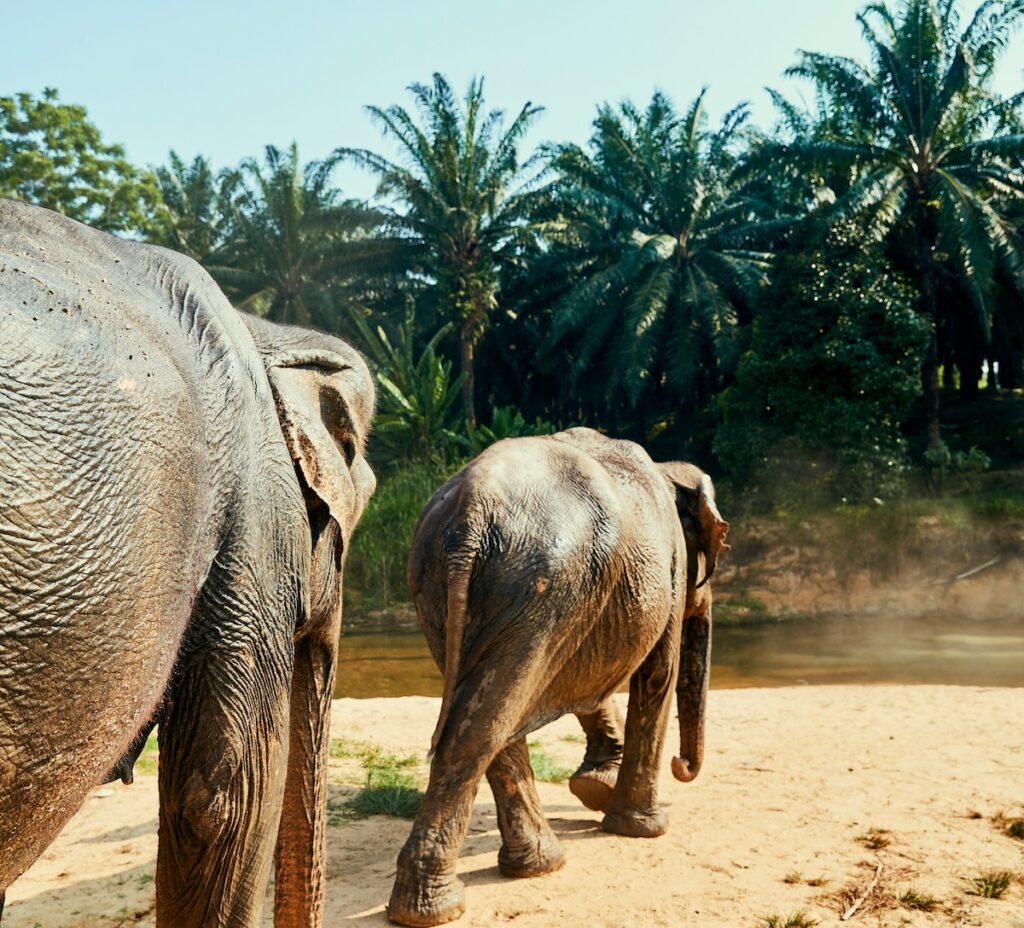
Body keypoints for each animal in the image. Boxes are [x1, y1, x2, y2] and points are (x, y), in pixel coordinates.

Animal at [388, 427, 729, 927]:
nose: (681, 766)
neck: (668, 471)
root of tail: (473, 508)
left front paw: (594, 789)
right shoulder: (670, 565)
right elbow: (655, 675)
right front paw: (645, 829)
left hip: (445, 585)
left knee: (493, 713)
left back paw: (536, 866)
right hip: (539, 585)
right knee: (485, 724)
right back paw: (435, 909)